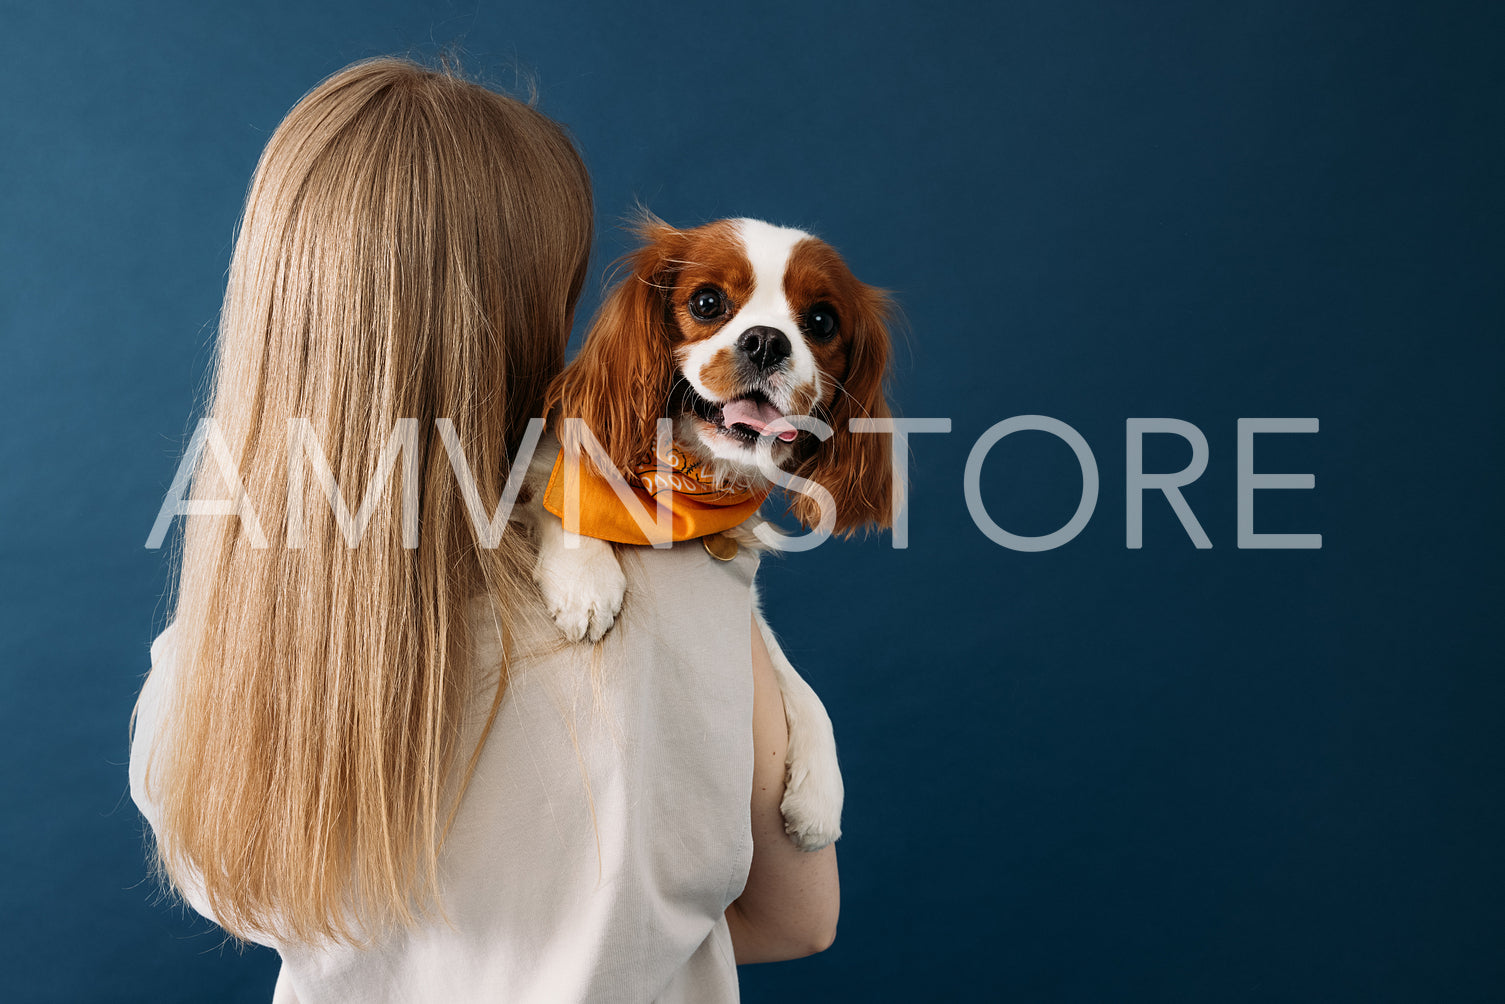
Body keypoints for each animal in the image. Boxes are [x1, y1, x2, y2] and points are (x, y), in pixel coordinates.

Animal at [520, 216, 884, 854]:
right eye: (707, 302)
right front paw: (587, 583)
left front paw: (821, 789)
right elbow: (563, 492)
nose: (766, 341)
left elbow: (793, 677)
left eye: (821, 322)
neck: (687, 482)